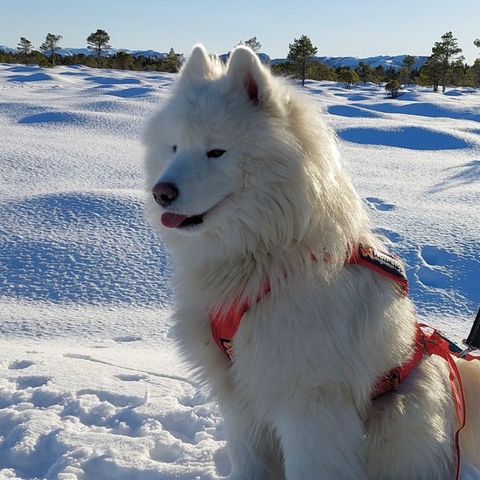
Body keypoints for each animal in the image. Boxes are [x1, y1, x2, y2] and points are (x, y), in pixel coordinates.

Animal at [144, 46, 480, 480]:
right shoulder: (241, 396)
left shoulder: (310, 401)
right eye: (174, 148)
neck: (259, 259)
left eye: (216, 151)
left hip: (399, 419)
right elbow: (249, 461)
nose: (161, 193)